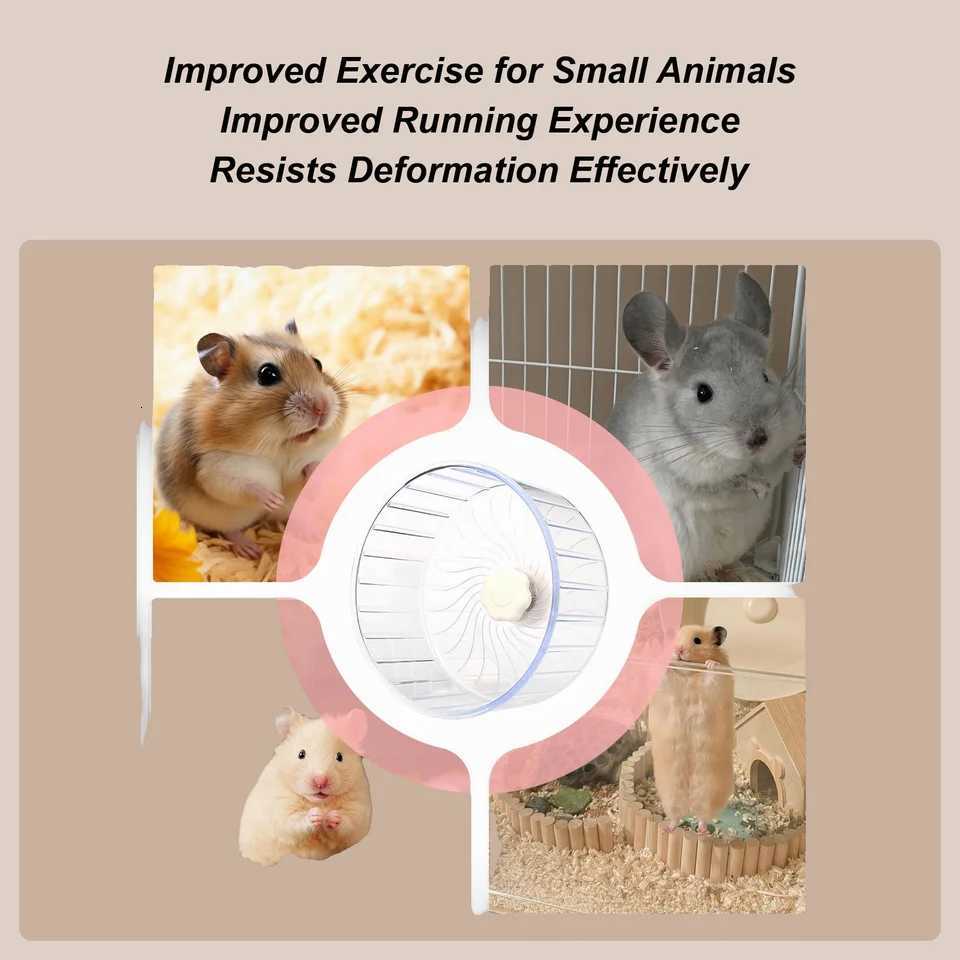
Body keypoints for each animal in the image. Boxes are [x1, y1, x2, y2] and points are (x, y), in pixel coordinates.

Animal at [156, 320, 347, 559]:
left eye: (318, 363)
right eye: (267, 374)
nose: (322, 407)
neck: (281, 446)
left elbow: (313, 466)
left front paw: (311, 472)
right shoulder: (217, 468)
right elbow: (245, 486)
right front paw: (274, 499)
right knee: (230, 531)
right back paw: (251, 550)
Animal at [239, 707, 372, 866]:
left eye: (339, 757)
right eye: (301, 754)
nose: (320, 781)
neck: (318, 802)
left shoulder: (359, 807)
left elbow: (349, 823)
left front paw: (332, 816)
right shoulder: (280, 807)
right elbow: (292, 821)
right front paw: (315, 815)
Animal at [607, 272, 805, 579]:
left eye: (765, 376)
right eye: (703, 392)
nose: (759, 438)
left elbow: (779, 465)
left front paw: (799, 449)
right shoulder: (684, 475)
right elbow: (725, 486)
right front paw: (757, 486)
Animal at [648, 625, 734, 833]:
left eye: (697, 641)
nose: (678, 650)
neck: (687, 673)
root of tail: (689, 803)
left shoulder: (720, 682)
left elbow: (715, 673)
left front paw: (711, 663)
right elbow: (665, 674)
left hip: (710, 788)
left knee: (704, 815)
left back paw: (701, 831)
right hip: (670, 790)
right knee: (676, 815)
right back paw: (669, 828)